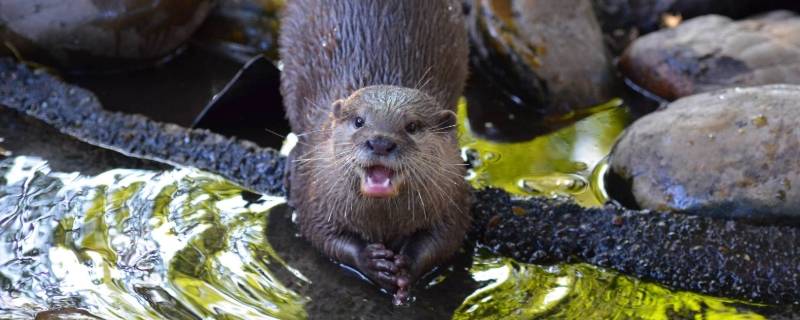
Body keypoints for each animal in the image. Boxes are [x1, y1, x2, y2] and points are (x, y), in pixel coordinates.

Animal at [280, 0, 468, 304]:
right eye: (359, 121)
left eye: (412, 126)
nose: (380, 141)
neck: (384, 222)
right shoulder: (313, 191)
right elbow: (319, 233)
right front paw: (371, 262)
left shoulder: (454, 193)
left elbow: (446, 237)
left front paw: (406, 266)